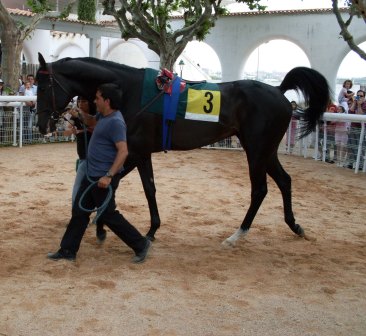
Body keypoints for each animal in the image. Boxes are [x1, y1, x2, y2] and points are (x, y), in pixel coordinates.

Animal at [35, 53, 330, 245]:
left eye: (44, 86)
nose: (41, 124)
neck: (127, 91)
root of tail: (280, 91)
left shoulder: (135, 152)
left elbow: (133, 186)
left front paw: (115, 228)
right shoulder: (138, 154)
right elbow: (138, 186)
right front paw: (134, 227)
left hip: (257, 151)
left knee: (260, 189)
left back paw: (238, 234)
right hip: (265, 150)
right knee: (284, 181)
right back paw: (295, 225)